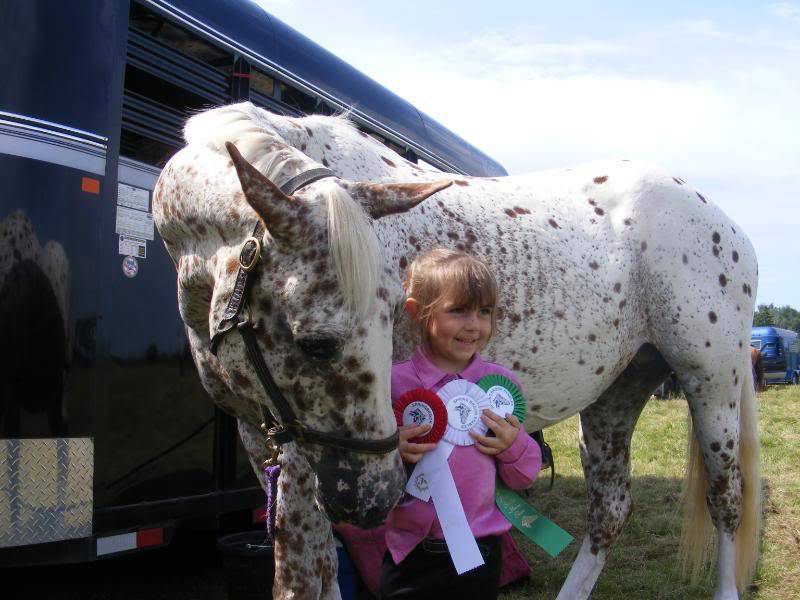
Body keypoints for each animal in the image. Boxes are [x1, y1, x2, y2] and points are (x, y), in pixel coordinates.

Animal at [156, 104, 764, 600]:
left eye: (390, 316)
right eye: (317, 343)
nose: (377, 497)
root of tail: (726, 224)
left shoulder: (305, 452)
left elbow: (301, 578)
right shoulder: (263, 435)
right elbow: (315, 571)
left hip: (712, 385)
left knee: (726, 499)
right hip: (617, 393)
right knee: (610, 510)